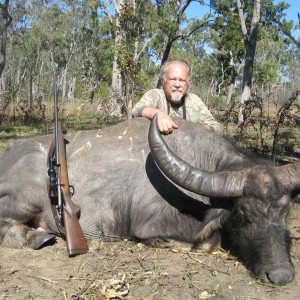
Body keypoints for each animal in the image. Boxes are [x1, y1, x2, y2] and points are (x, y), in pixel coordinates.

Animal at [0, 115, 300, 286]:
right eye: (241, 214)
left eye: (284, 211)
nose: (281, 276)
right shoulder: (150, 225)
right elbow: (210, 241)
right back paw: (37, 237)